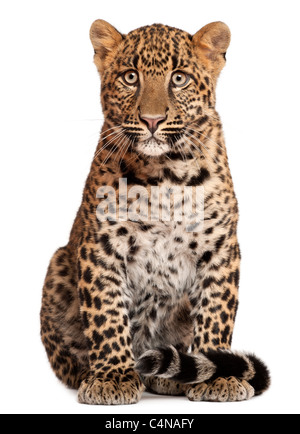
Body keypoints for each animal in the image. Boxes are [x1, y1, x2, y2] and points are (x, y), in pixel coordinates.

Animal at [39, 19, 270, 406]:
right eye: (131, 77)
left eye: (179, 78)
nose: (151, 120)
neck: (166, 172)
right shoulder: (100, 247)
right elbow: (106, 313)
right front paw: (112, 378)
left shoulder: (221, 247)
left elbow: (216, 310)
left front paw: (218, 374)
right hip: (58, 264)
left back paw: (173, 376)